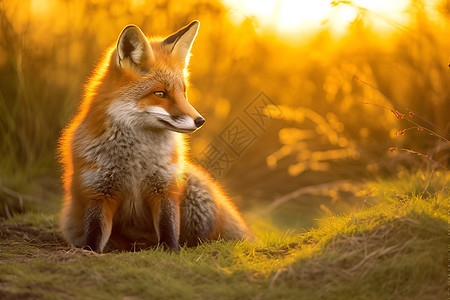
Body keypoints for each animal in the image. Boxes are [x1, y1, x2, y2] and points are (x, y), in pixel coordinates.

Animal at [59, 19, 253, 252]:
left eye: (183, 93)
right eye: (160, 94)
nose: (200, 121)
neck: (135, 162)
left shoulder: (164, 188)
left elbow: (169, 228)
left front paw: (171, 251)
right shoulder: (99, 192)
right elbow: (95, 235)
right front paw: (89, 252)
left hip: (193, 187)